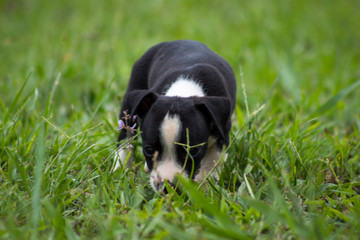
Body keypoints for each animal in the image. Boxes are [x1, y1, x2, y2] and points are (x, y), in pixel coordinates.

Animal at [115, 40, 238, 192]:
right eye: (148, 150)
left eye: (193, 151)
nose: (168, 187)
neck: (184, 90)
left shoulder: (221, 134)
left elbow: (211, 165)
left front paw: (203, 189)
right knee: (125, 136)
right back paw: (121, 168)